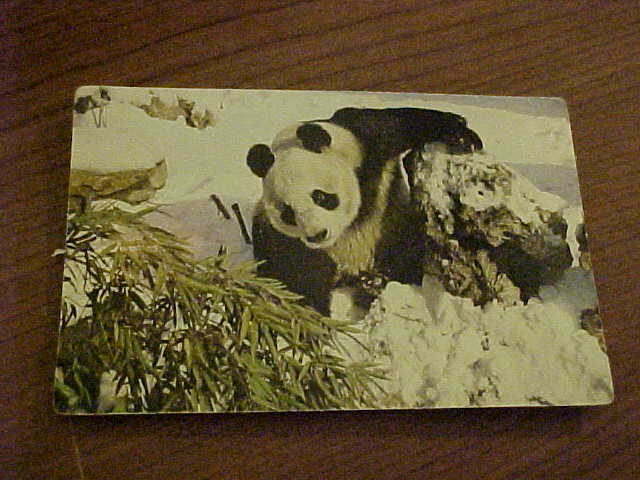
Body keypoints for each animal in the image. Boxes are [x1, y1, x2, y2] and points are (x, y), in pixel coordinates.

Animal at [246, 107, 483, 315]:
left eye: (320, 196)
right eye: (288, 213)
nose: (317, 235)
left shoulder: (366, 143)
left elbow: (403, 122)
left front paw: (463, 137)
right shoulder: (284, 241)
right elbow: (298, 280)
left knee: (407, 253)